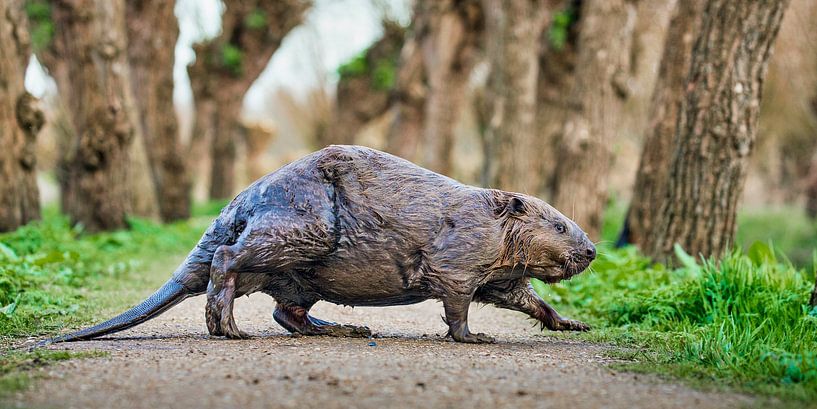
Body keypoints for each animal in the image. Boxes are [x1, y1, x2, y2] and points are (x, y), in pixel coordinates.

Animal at [41, 145, 592, 342]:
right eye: (561, 226)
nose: (590, 251)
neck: (486, 218)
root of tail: (235, 208)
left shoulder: (498, 272)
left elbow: (522, 297)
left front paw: (573, 323)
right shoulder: (458, 257)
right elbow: (456, 303)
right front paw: (474, 337)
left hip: (299, 270)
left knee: (287, 311)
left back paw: (345, 327)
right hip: (303, 229)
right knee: (227, 260)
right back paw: (228, 328)